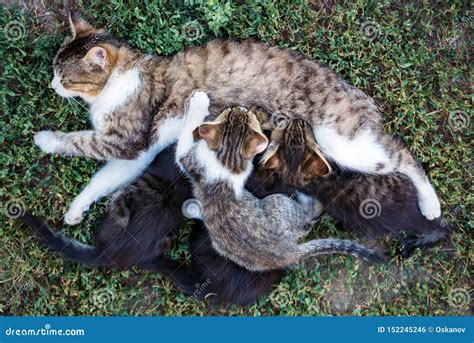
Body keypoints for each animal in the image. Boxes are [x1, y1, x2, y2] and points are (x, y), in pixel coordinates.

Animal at [35, 12, 442, 226]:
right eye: (54, 69)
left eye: (64, 76)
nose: (51, 84)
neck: (120, 79)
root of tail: (353, 91)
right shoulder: (137, 153)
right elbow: (103, 180)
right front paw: (77, 208)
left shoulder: (126, 139)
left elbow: (80, 140)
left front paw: (45, 139)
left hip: (349, 142)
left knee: (404, 156)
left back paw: (430, 204)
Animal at [174, 90, 382, 272]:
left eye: (237, 112)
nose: (240, 107)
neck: (227, 158)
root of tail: (288, 253)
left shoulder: (189, 160)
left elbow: (183, 140)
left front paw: (198, 102)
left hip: (278, 202)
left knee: (308, 219)